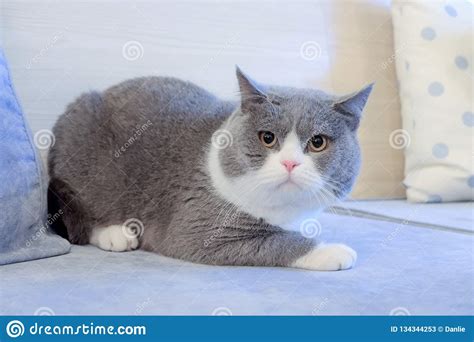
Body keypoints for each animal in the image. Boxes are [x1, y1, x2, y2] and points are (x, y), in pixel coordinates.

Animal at [49, 68, 374, 272]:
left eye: (318, 142)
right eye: (267, 138)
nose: (290, 163)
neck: (281, 212)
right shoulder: (199, 228)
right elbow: (279, 240)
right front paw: (331, 251)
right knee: (81, 219)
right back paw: (116, 235)